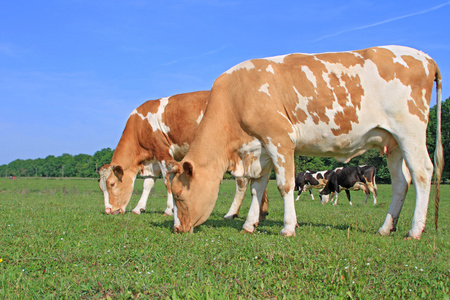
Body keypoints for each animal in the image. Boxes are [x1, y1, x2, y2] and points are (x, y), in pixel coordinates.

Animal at [98, 92, 268, 223]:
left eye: (112, 184)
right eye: (101, 188)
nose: (108, 210)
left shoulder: (162, 152)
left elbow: (167, 181)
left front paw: (168, 210)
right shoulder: (153, 159)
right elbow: (148, 183)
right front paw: (138, 208)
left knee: (243, 181)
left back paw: (231, 214)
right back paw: (261, 213)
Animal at [169, 45, 442, 240]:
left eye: (179, 196)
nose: (177, 229)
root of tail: (425, 57)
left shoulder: (279, 139)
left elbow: (285, 185)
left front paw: (288, 227)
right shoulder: (262, 149)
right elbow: (258, 187)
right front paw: (249, 224)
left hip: (409, 130)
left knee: (422, 173)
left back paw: (414, 231)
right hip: (392, 142)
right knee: (401, 182)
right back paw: (386, 228)